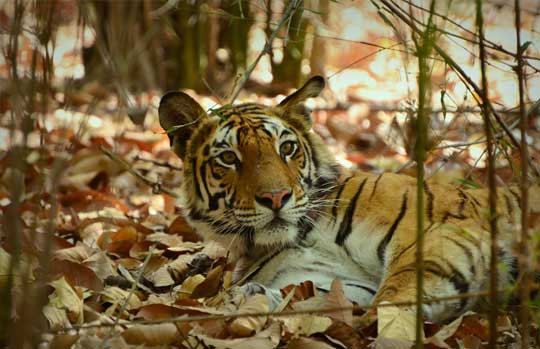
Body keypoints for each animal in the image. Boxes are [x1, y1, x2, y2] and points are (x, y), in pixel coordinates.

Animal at [159, 77, 540, 324]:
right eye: (229, 158)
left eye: (287, 148)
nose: (276, 197)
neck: (300, 235)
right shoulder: (337, 281)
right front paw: (247, 296)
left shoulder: (439, 229)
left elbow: (397, 292)